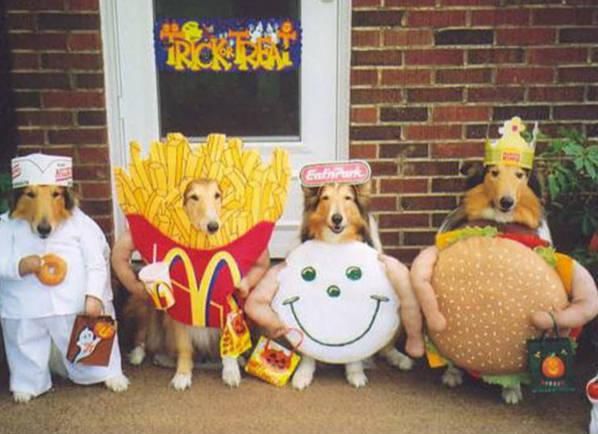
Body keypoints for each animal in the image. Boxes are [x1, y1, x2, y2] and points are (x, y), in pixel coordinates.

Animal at [292, 183, 418, 390]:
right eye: (325, 198)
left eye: (348, 198)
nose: (337, 218)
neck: (334, 246)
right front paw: (303, 374)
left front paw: (355, 373)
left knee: (386, 347)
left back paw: (400, 359)